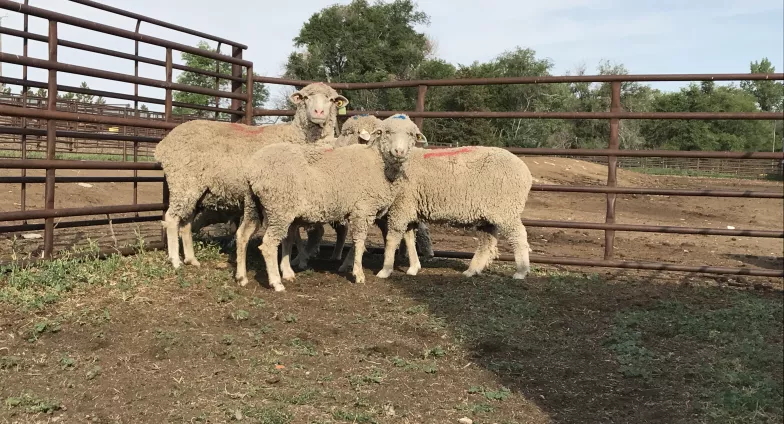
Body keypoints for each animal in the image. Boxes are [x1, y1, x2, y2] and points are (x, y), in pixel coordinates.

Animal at [153, 82, 346, 268]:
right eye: (305, 98)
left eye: (331, 100)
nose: (319, 112)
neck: (298, 137)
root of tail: (164, 144)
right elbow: (294, 234)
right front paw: (299, 259)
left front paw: (298, 258)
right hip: (184, 182)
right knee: (171, 218)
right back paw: (175, 261)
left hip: (195, 190)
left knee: (185, 223)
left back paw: (191, 259)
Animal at [240, 112, 426, 292]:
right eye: (386, 132)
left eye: (411, 135)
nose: (399, 151)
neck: (377, 161)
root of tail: (254, 169)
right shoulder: (363, 209)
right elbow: (360, 241)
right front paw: (358, 274)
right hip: (279, 207)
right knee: (268, 245)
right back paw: (277, 283)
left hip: (255, 205)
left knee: (243, 235)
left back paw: (243, 277)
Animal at [372, 144, 532, 280]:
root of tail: (526, 171)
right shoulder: (409, 209)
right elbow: (409, 239)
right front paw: (414, 267)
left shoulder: (401, 206)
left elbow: (392, 239)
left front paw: (385, 270)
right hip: (487, 215)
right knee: (487, 241)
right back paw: (472, 270)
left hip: (506, 209)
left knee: (518, 236)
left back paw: (521, 271)